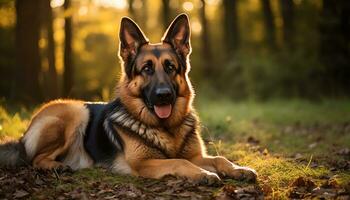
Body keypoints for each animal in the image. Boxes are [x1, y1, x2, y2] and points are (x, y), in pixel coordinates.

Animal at [0, 13, 258, 183]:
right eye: (147, 69)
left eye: (171, 67)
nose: (164, 96)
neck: (166, 128)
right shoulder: (144, 164)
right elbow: (179, 161)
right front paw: (203, 174)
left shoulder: (197, 155)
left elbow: (220, 158)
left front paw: (238, 169)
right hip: (75, 111)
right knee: (34, 158)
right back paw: (55, 166)